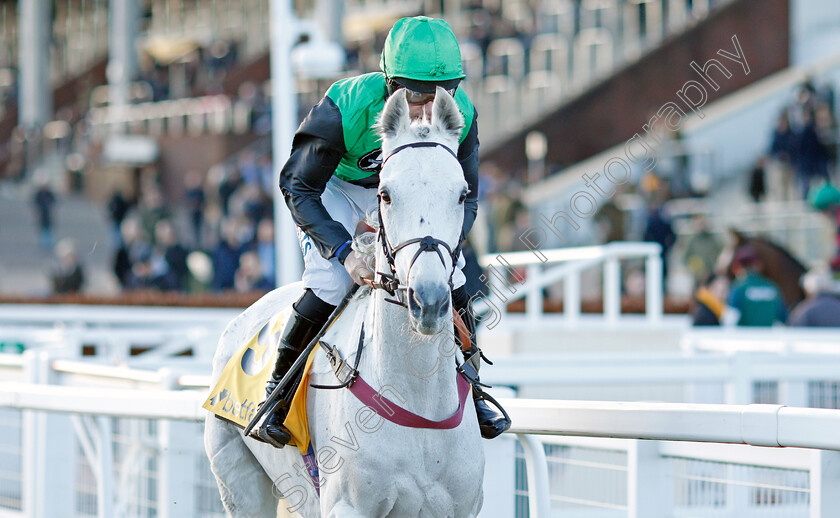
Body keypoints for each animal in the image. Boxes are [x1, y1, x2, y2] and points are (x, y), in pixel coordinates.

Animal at [203, 87, 486, 516]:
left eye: (462, 193)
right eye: (385, 194)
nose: (429, 300)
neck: (416, 399)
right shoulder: (346, 505)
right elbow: (298, 183)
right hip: (238, 479)